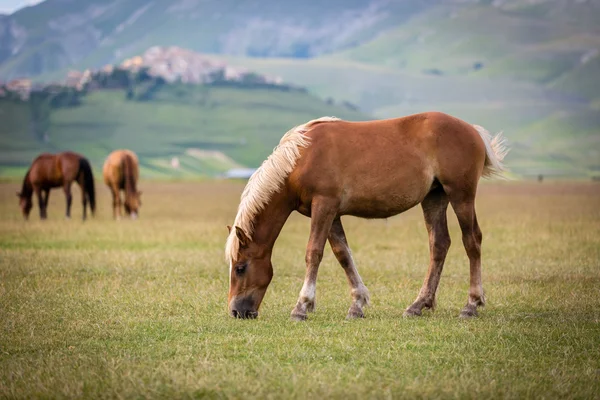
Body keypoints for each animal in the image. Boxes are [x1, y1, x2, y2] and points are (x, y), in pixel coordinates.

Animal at [225, 111, 506, 320]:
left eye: (240, 268)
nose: (236, 311)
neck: (300, 157)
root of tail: (473, 130)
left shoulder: (323, 206)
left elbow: (313, 252)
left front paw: (302, 306)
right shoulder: (332, 214)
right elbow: (343, 255)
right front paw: (357, 304)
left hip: (461, 195)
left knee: (472, 241)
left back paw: (471, 304)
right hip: (434, 198)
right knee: (439, 244)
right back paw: (419, 304)